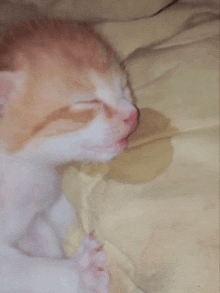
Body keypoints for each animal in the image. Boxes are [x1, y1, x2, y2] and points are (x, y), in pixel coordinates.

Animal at [0, 18, 138, 292]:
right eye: (88, 102)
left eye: (123, 88)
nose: (133, 115)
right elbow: (22, 268)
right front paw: (82, 272)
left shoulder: (32, 216)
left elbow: (45, 240)